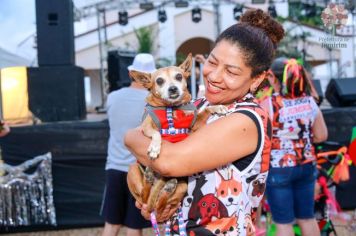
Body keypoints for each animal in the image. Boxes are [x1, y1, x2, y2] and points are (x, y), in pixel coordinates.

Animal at [127, 54, 225, 219]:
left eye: (179, 76)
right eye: (159, 81)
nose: (173, 88)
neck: (171, 108)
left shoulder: (194, 126)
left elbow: (206, 110)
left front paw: (217, 107)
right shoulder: (145, 127)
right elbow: (156, 133)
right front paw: (155, 148)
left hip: (182, 186)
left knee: (160, 205)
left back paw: (167, 186)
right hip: (133, 169)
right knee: (144, 197)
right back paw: (149, 177)